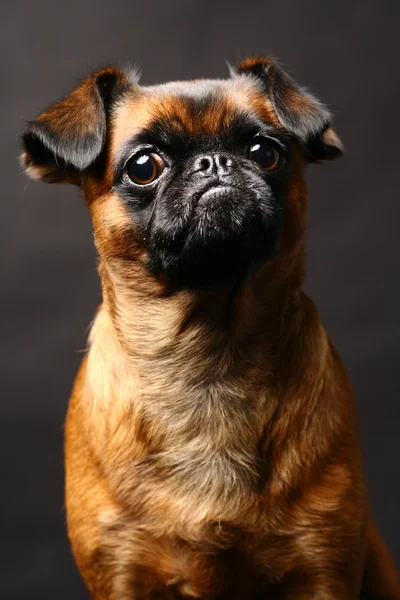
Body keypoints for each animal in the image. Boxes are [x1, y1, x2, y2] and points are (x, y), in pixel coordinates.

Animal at [22, 56, 400, 600]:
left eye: (265, 152)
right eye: (144, 166)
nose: (215, 163)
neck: (207, 362)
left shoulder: (323, 566)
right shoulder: (120, 571)